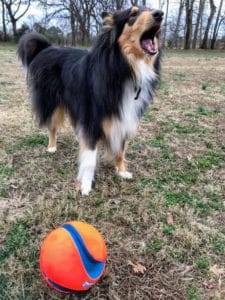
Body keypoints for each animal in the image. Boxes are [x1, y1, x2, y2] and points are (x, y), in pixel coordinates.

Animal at [18, 7, 163, 196]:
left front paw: (121, 171)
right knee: (52, 126)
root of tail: (47, 48)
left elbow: (121, 149)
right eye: (133, 15)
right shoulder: (91, 118)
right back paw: (51, 146)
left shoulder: (124, 116)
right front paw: (86, 185)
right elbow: (90, 157)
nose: (159, 14)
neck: (123, 68)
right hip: (52, 103)